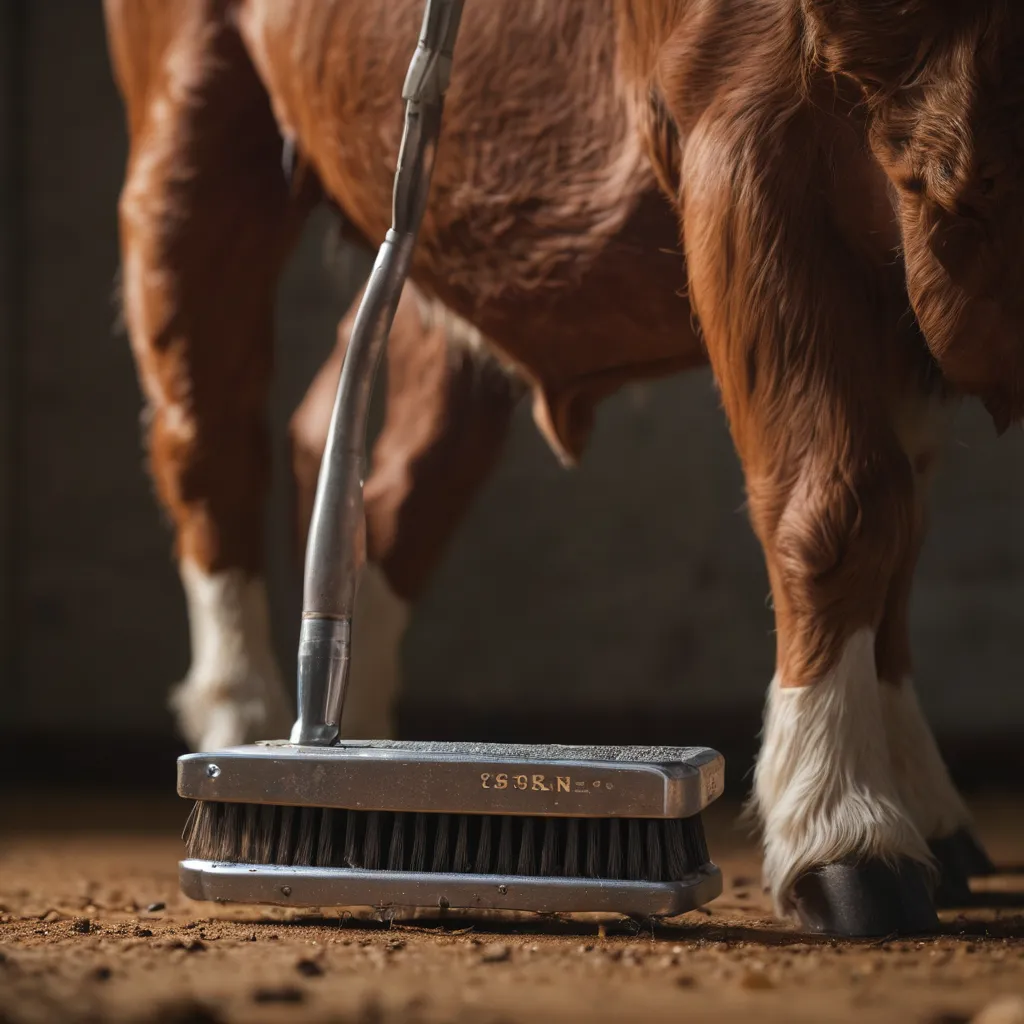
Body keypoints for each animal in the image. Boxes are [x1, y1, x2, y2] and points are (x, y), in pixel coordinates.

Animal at [103, 0, 1014, 933]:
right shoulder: (745, 125)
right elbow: (837, 500)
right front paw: (845, 834)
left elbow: (902, 536)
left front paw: (923, 815)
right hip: (190, 112)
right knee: (206, 426)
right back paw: (240, 709)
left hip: (445, 247)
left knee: (378, 462)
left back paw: (349, 737)